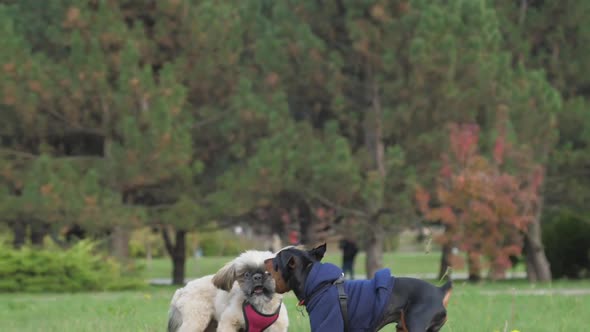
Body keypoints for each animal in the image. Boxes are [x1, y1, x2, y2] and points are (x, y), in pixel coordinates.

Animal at [264, 244, 454, 332]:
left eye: (275, 260)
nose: (264, 259)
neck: (318, 283)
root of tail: (439, 291)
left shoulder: (328, 323)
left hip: (415, 325)